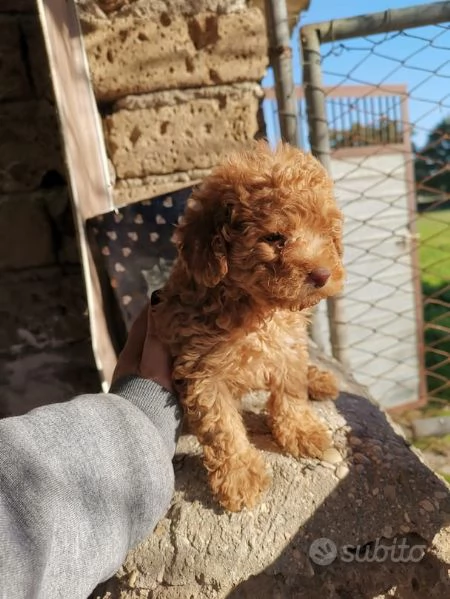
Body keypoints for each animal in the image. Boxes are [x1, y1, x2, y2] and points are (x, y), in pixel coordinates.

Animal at [154, 141, 344, 510]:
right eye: (275, 238)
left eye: (327, 233)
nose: (322, 274)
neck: (258, 311)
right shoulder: (201, 371)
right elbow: (222, 427)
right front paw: (239, 475)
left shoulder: (289, 347)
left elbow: (290, 392)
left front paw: (301, 431)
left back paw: (318, 379)